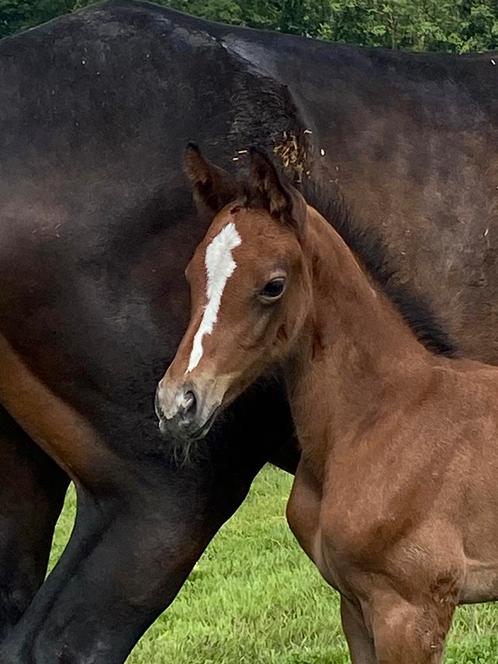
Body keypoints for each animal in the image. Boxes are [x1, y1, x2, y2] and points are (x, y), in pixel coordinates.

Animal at [157, 147, 498, 664]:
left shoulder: (411, 610)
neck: (378, 419)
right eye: (192, 274)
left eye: (273, 285)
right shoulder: (353, 605)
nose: (177, 402)